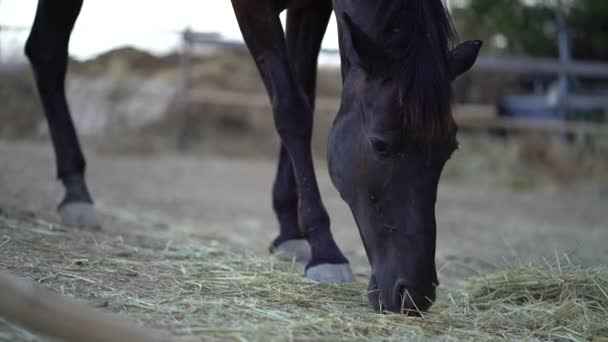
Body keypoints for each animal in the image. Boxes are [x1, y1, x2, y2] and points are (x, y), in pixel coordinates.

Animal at [25, 0, 480, 314]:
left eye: (450, 150)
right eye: (381, 145)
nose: (415, 294)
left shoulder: (309, 6)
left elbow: (303, 92)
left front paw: (290, 230)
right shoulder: (251, 6)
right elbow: (292, 110)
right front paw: (324, 248)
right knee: (48, 50)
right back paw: (76, 193)